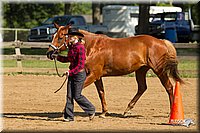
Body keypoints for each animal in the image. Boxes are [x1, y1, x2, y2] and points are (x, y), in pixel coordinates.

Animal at [46, 23, 183, 118]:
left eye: (60, 37)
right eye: (53, 36)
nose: (49, 53)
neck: (91, 46)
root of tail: (161, 41)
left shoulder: (93, 75)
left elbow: (78, 90)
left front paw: (65, 111)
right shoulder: (97, 76)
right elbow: (101, 93)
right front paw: (104, 112)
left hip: (159, 71)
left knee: (169, 87)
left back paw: (171, 112)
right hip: (141, 70)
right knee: (142, 88)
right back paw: (127, 110)